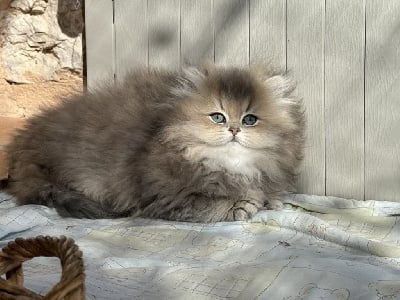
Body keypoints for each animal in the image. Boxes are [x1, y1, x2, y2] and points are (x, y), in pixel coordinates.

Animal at [5, 64, 304, 221]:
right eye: (218, 117)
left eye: (250, 119)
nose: (233, 129)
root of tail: (23, 147)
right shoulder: (167, 197)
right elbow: (213, 204)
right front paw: (246, 202)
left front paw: (270, 199)